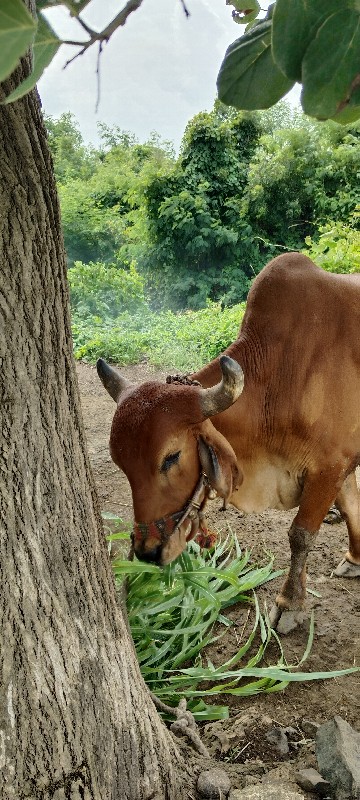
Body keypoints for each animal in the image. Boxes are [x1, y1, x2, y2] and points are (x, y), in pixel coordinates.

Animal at [97, 252, 360, 624]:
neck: (283, 374)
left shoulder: (330, 466)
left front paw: (290, 604)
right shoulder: (343, 463)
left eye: (171, 457)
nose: (147, 551)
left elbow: (301, 535)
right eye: (121, 464)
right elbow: (352, 508)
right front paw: (355, 559)